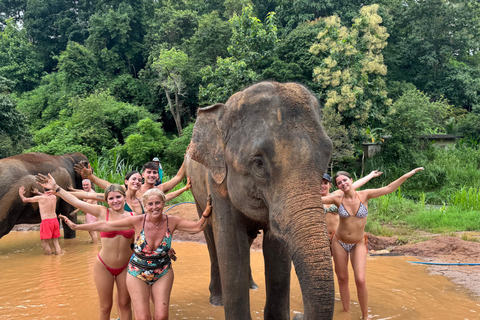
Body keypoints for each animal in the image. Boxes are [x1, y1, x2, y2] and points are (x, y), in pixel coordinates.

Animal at [186, 82, 336, 320]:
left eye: (327, 155)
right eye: (258, 163)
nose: (298, 315)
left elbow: (277, 251)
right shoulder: (217, 183)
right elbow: (230, 246)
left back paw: (252, 286)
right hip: (197, 194)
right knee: (211, 238)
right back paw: (217, 300)